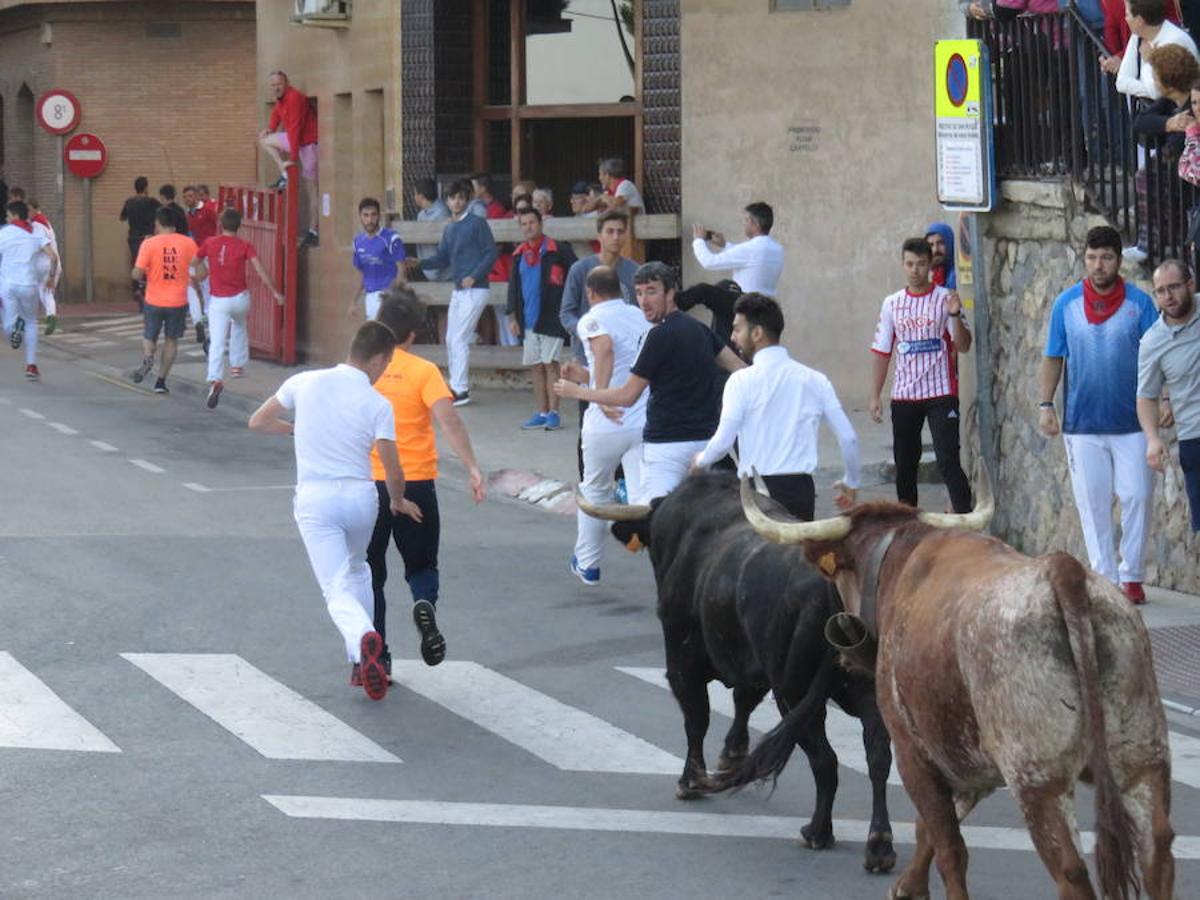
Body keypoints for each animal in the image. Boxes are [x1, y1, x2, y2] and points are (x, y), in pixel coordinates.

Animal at [600, 472, 892, 873]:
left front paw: (690, 781)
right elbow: (743, 699)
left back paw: (818, 832)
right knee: (878, 756)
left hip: (796, 694)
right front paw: (731, 754)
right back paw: (879, 846)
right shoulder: (751, 664)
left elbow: (697, 719)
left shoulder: (681, 663)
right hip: (866, 693)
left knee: (825, 760)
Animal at [734, 475, 1176, 897]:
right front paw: (907, 886)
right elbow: (929, 829)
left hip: (1037, 780)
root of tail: (1064, 572)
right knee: (1157, 855)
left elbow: (948, 846)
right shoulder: (965, 759)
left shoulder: (913, 750)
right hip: (1141, 760)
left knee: (1071, 872)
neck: (899, 562)